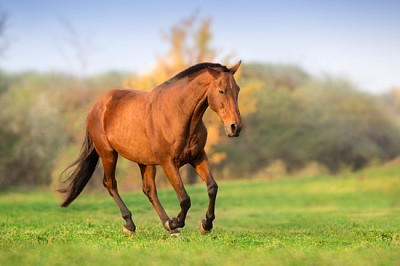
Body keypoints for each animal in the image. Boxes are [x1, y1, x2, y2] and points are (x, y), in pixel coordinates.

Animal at [57, 61, 242, 236]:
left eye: (237, 90)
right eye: (221, 91)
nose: (235, 127)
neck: (178, 113)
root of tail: (97, 105)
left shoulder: (197, 156)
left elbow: (212, 187)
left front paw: (205, 225)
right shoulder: (168, 162)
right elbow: (184, 198)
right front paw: (176, 222)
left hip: (144, 162)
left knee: (149, 190)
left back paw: (169, 227)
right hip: (108, 154)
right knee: (110, 184)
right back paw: (131, 224)